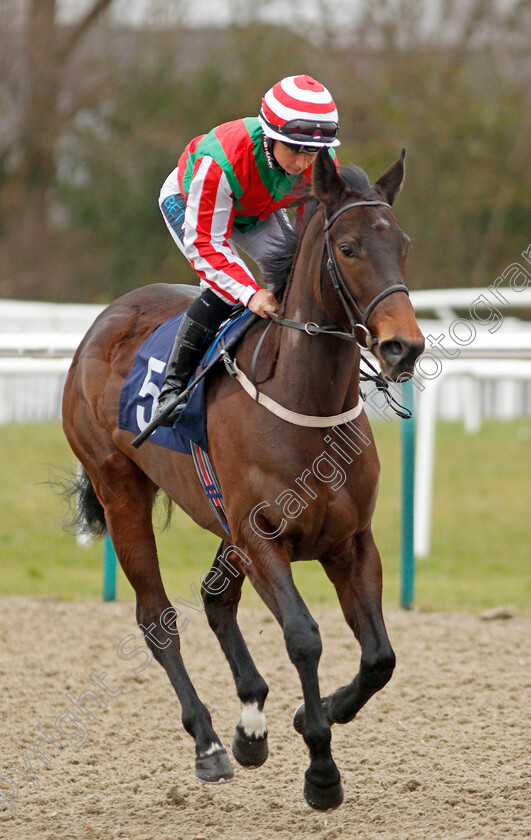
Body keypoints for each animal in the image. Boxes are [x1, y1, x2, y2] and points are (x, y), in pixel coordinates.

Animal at [62, 148, 426, 812]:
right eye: (350, 248)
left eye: (403, 244)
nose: (402, 347)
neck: (306, 401)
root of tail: (103, 320)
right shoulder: (262, 539)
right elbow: (304, 637)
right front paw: (321, 770)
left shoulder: (350, 541)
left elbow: (380, 657)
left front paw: (319, 711)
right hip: (119, 487)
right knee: (156, 618)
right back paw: (207, 742)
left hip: (222, 522)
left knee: (214, 598)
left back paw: (249, 723)